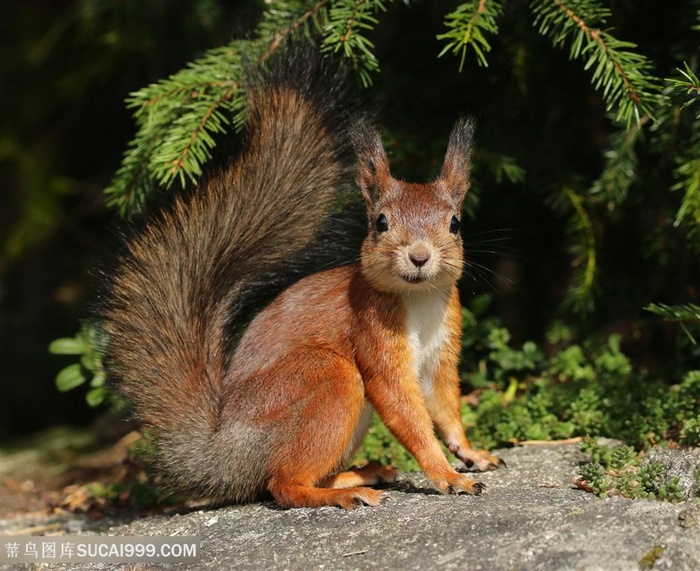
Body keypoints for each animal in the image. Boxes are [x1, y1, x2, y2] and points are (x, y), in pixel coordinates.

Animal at [101, 44, 500, 510]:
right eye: (380, 222)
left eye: (455, 223)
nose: (419, 256)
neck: (417, 300)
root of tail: (222, 452)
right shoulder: (373, 334)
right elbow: (404, 410)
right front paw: (447, 475)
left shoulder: (442, 350)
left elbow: (446, 406)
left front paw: (471, 453)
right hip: (325, 377)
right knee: (282, 483)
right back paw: (344, 493)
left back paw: (360, 473)